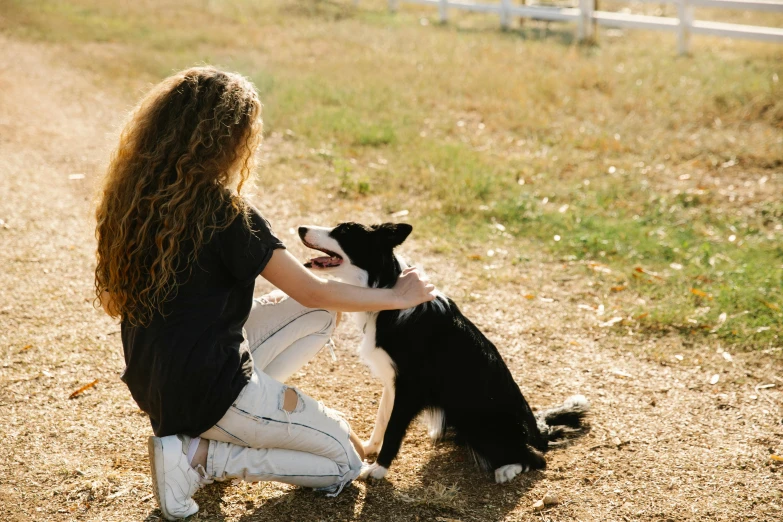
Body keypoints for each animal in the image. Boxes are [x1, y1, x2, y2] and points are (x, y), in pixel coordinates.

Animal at [298, 221, 588, 482]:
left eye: (344, 231)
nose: (301, 229)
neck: (386, 288)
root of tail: (535, 430)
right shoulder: (393, 382)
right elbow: (382, 419)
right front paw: (368, 448)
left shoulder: (410, 387)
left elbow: (393, 429)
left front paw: (379, 469)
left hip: (480, 423)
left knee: (535, 458)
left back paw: (507, 469)